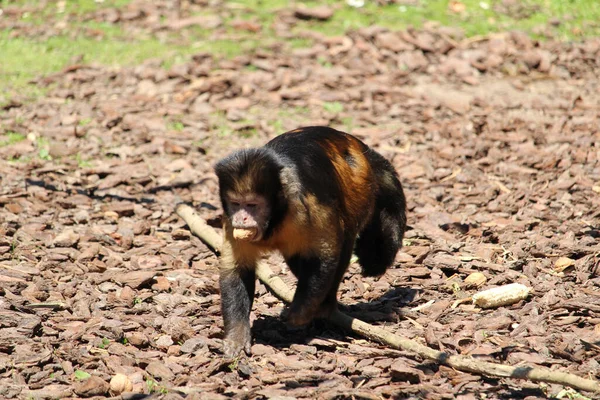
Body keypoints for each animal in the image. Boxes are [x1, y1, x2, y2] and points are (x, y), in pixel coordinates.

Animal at [213, 125, 406, 356]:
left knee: (342, 242)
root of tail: (355, 143)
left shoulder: (306, 204)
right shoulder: (229, 220)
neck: (276, 218)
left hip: (359, 184)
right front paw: (237, 335)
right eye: (236, 204)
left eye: (252, 205)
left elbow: (325, 256)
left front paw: (300, 312)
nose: (241, 218)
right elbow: (237, 270)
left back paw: (326, 307)